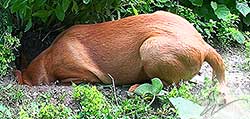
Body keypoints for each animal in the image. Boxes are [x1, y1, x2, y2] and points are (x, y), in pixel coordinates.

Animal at [15, 11, 226, 90]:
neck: (48, 57)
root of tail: (204, 46)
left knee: (167, 84)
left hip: (150, 48)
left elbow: (65, 80)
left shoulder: (86, 75)